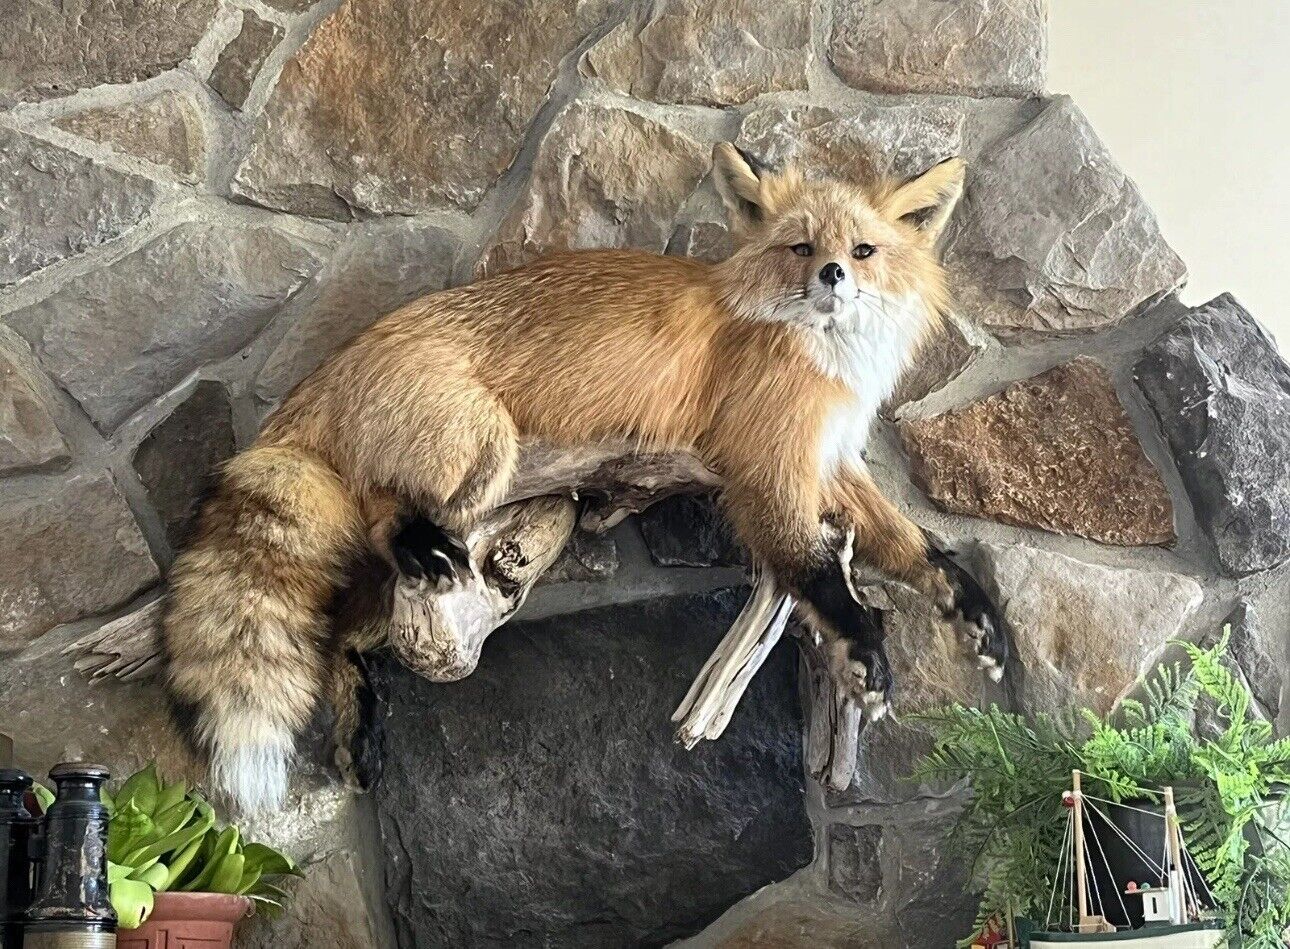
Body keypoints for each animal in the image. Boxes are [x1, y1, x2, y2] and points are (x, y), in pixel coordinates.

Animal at [162, 142, 1005, 814]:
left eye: (862, 251)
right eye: (801, 247)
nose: (832, 274)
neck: (822, 358)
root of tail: (326, 372)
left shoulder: (831, 460)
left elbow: (914, 544)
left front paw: (973, 611)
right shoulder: (767, 469)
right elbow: (816, 570)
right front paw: (866, 651)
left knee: (342, 629)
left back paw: (360, 725)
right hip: (484, 445)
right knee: (376, 511)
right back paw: (406, 546)